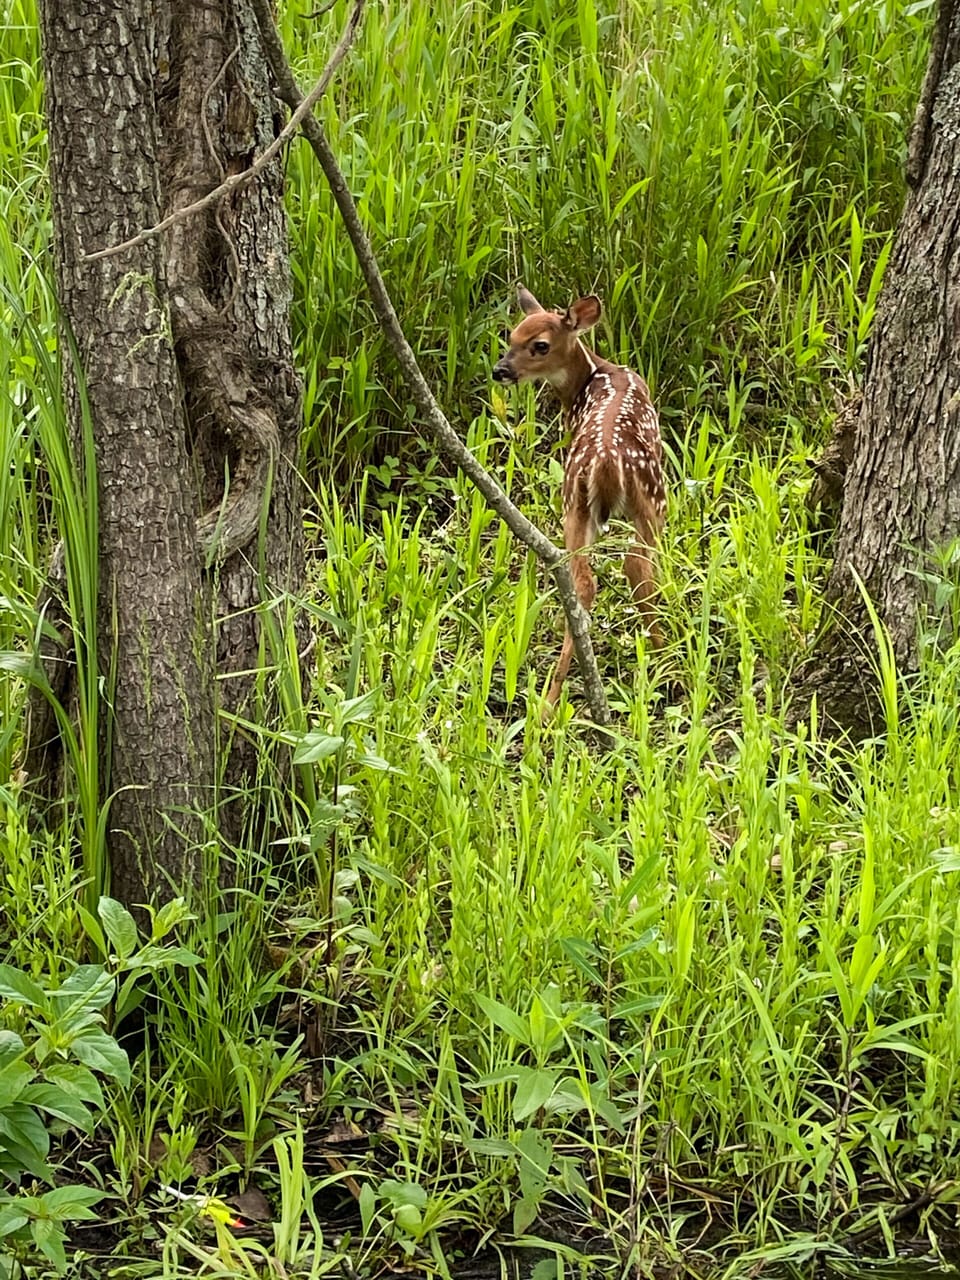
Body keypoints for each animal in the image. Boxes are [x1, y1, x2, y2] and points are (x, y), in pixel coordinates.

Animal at [492, 286, 666, 708]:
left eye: (538, 344)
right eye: (510, 337)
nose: (500, 371)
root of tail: (606, 462)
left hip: (578, 502)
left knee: (583, 578)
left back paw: (549, 702)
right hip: (648, 496)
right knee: (629, 568)